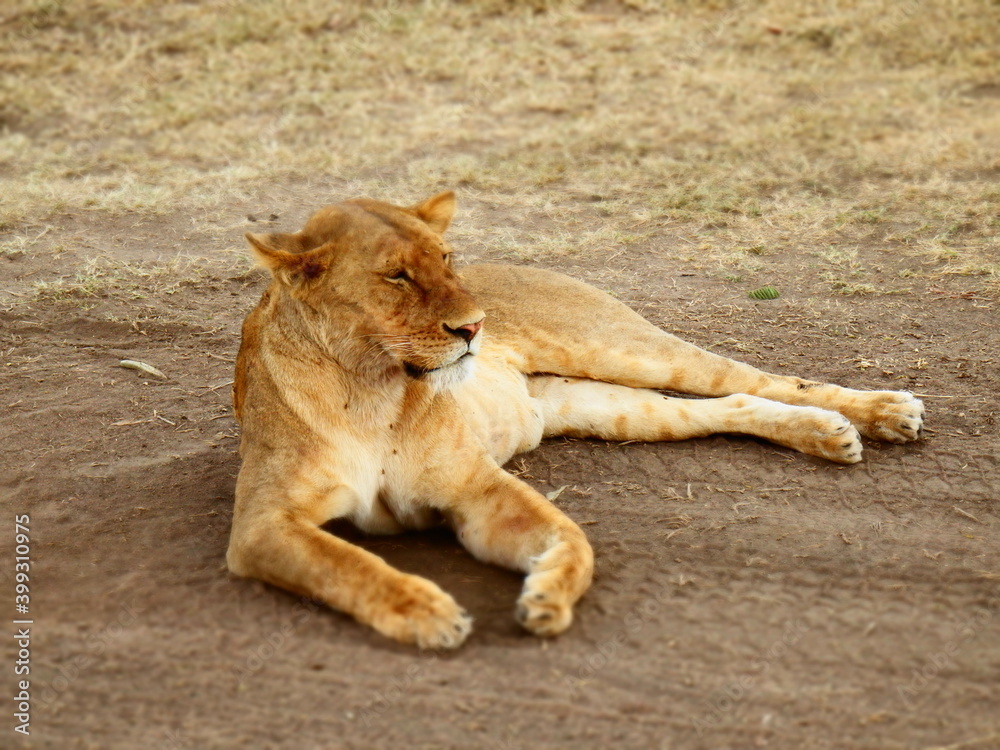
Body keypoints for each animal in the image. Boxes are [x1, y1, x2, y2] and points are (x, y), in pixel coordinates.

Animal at [226, 190, 924, 649]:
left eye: (447, 258)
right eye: (396, 275)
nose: (475, 327)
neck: (370, 388)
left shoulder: (472, 485)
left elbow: (573, 538)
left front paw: (550, 594)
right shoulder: (262, 524)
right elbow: (343, 564)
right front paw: (425, 610)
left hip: (622, 348)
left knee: (751, 377)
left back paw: (886, 410)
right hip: (609, 407)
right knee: (731, 405)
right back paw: (827, 433)